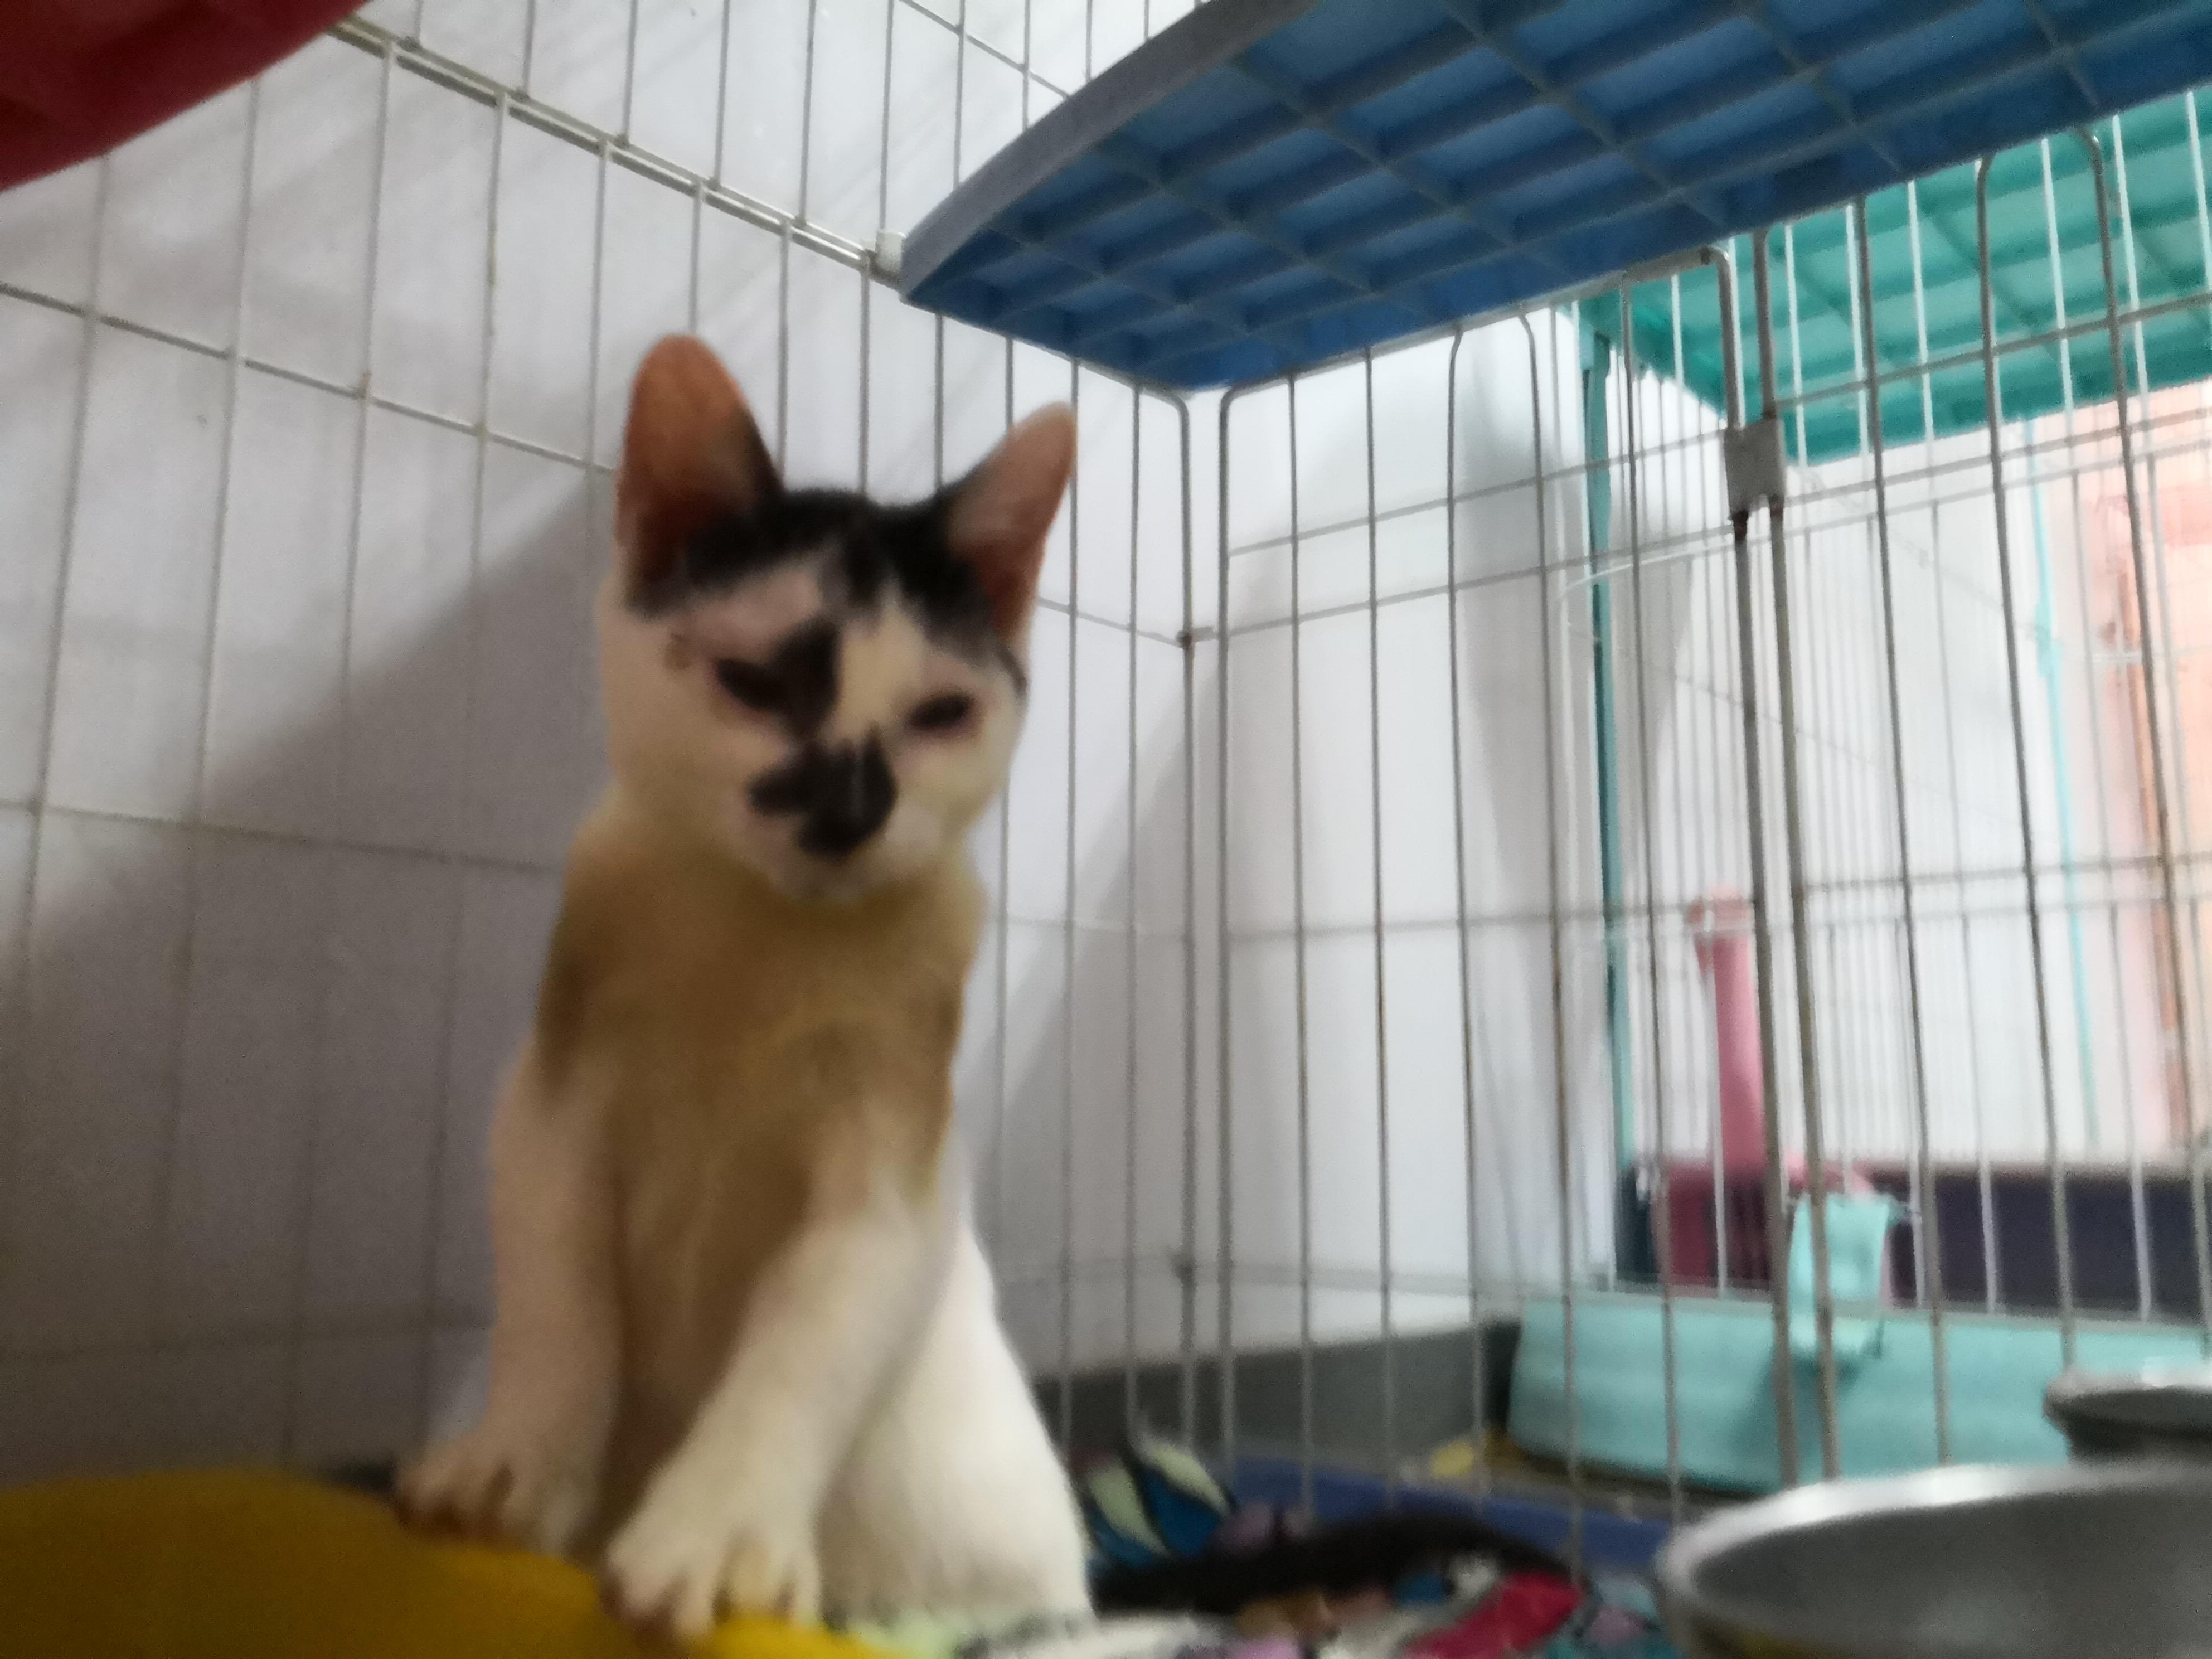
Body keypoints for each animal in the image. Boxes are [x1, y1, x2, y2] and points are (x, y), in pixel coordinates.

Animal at [398, 334, 1092, 1639]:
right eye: (755, 683)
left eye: (942, 713)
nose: (849, 807)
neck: (759, 943)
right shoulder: (549, 1108)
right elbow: (557, 1297)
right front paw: (516, 1465)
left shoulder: (892, 1183)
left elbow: (806, 1348)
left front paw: (716, 1533)